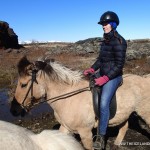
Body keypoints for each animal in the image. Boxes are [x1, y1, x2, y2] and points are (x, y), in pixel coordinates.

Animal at [10, 56, 150, 150]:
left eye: (23, 84)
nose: (13, 110)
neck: (68, 98)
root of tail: (145, 79)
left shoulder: (85, 133)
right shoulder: (65, 128)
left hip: (145, 112)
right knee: (124, 126)